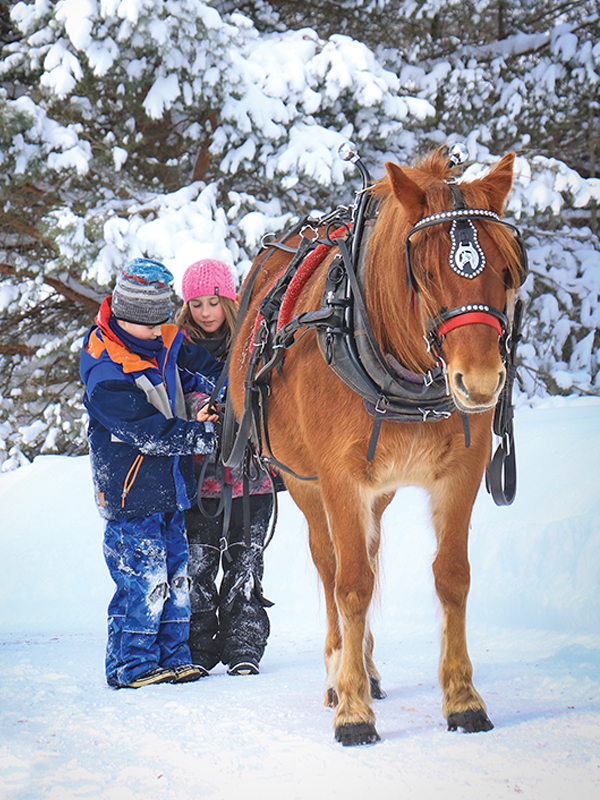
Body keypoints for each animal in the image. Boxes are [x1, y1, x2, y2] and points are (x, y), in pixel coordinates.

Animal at [226, 147, 526, 746]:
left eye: (507, 271)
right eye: (425, 273)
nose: (481, 382)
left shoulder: (461, 472)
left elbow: (451, 576)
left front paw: (463, 700)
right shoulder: (339, 479)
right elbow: (352, 586)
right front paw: (353, 708)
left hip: (378, 491)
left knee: (364, 551)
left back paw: (364, 665)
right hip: (302, 481)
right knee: (331, 567)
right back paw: (339, 671)